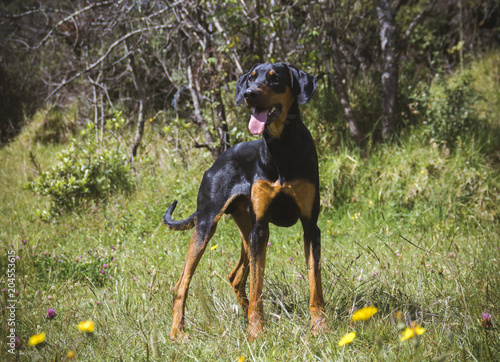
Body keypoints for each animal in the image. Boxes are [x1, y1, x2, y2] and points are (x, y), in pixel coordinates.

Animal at [164, 61, 326, 340]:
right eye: (251, 77)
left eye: (275, 78)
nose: (249, 94)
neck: (281, 148)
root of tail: (215, 162)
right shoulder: (260, 228)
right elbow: (256, 285)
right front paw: (256, 330)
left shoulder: (309, 226)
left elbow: (314, 282)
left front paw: (320, 326)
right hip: (208, 225)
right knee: (182, 283)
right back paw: (178, 332)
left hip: (245, 232)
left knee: (236, 277)